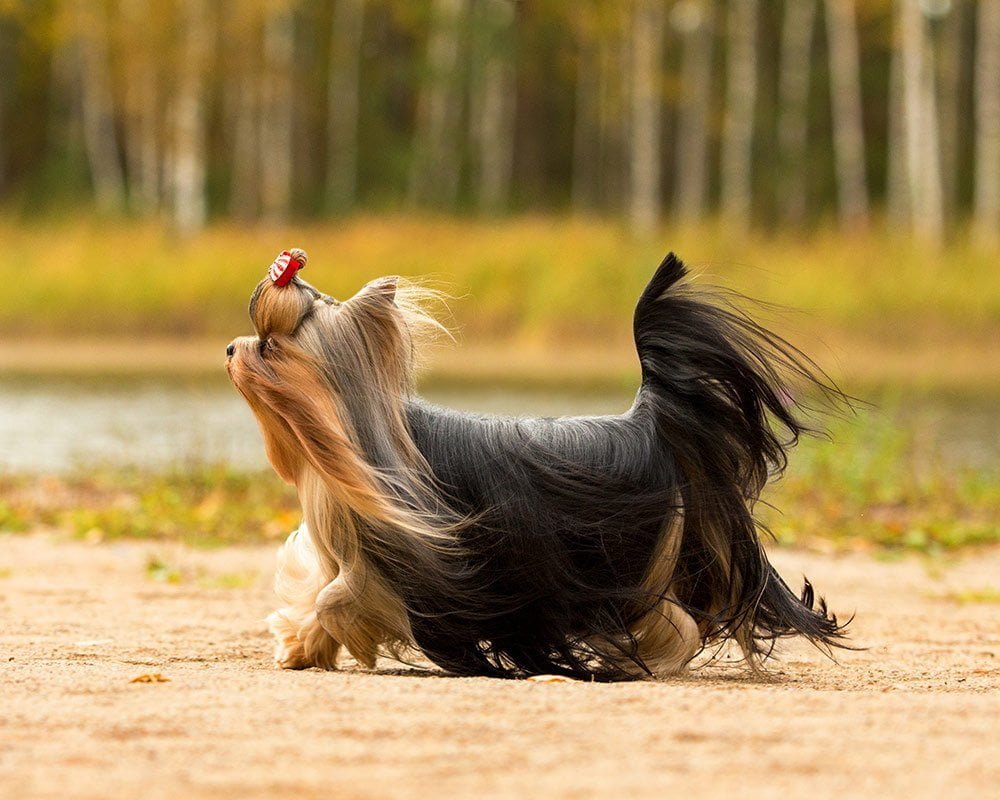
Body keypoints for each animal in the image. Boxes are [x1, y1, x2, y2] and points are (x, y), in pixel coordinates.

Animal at [229, 247, 852, 680]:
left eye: (271, 347)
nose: (232, 349)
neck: (344, 438)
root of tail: (646, 422)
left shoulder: (403, 558)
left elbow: (337, 597)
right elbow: (320, 589)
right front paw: (300, 646)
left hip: (625, 562)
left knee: (670, 620)